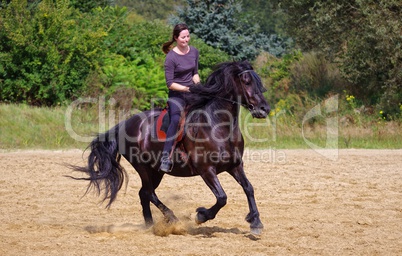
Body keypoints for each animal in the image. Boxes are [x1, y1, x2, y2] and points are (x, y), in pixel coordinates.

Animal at [72, 60, 270, 234]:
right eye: (246, 81)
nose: (264, 108)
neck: (218, 126)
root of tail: (124, 125)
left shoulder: (235, 165)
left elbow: (249, 188)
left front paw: (256, 222)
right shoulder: (206, 169)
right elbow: (222, 198)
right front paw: (201, 215)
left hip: (156, 171)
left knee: (144, 194)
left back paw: (150, 225)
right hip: (143, 167)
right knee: (149, 193)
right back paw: (172, 220)